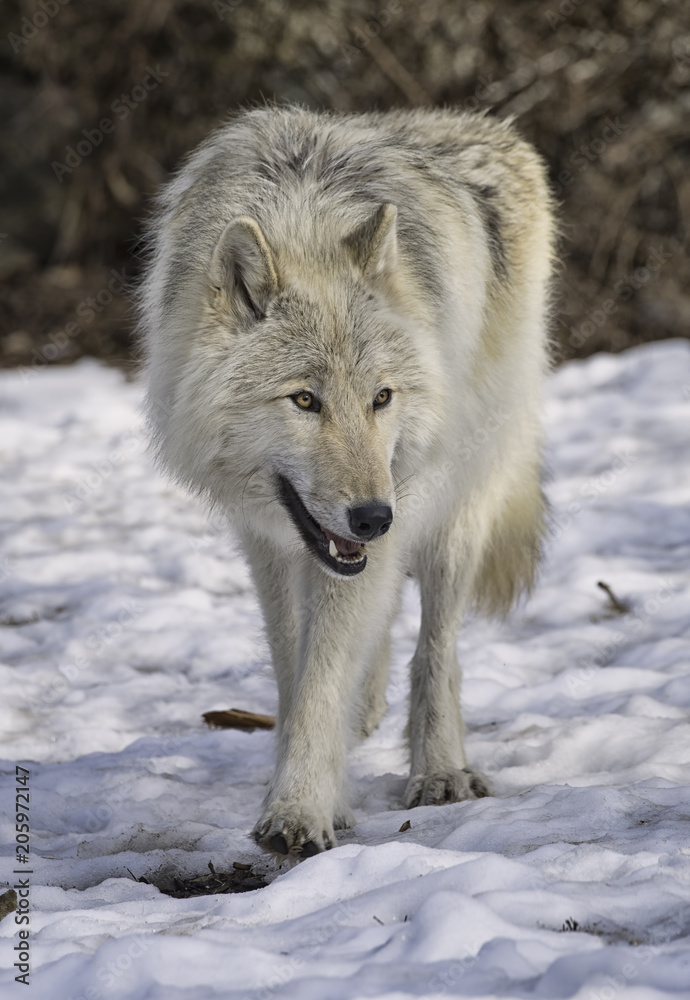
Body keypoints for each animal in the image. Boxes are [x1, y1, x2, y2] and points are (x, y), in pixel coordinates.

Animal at [139, 105, 556, 860]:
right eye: (305, 400)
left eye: (381, 398)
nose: (371, 518)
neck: (301, 218)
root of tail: (487, 126)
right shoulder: (268, 542)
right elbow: (295, 669)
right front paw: (313, 786)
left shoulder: (392, 513)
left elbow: (323, 678)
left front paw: (299, 810)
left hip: (456, 500)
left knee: (437, 648)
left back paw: (441, 770)